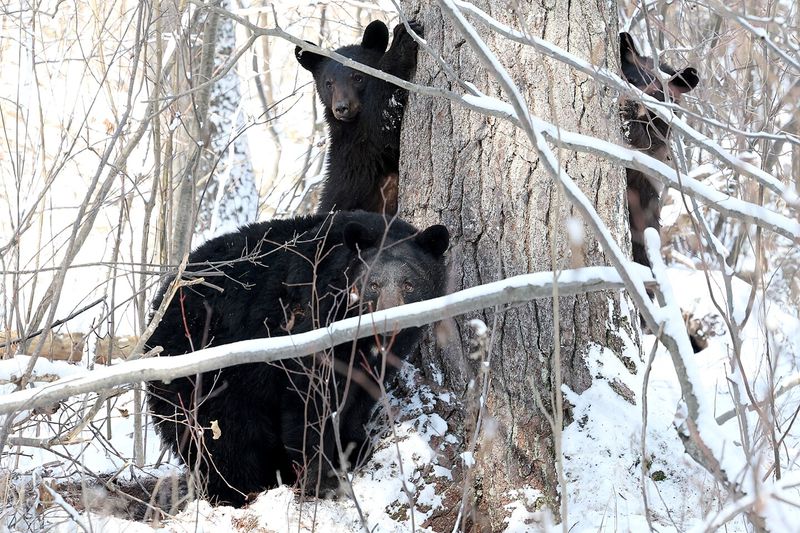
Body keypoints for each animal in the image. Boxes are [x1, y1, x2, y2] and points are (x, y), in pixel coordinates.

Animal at [145, 211, 449, 507]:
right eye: (373, 284)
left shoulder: (377, 358)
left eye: (409, 284)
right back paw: (237, 489)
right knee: (222, 435)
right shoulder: (312, 323)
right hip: (206, 371)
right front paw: (321, 476)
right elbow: (309, 401)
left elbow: (361, 396)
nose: (389, 323)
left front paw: (354, 448)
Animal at [295, 20, 423, 215]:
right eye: (328, 83)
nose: (341, 108)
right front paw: (402, 39)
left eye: (358, 77)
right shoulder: (363, 141)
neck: (352, 123)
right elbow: (384, 120)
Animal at [619, 32, 699, 267]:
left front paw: (629, 123)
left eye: (656, 95)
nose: (632, 102)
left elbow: (650, 141)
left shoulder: (662, 132)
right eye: (632, 80)